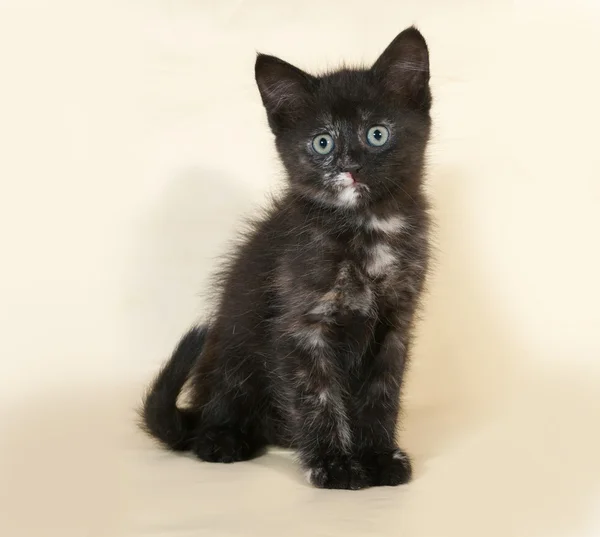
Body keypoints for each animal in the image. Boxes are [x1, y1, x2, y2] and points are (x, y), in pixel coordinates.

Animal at [141, 26, 432, 490]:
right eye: (322, 142)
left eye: (377, 134)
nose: (349, 166)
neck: (366, 228)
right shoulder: (299, 325)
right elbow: (317, 395)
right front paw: (334, 464)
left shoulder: (395, 323)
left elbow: (381, 393)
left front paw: (378, 456)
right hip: (234, 349)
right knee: (216, 416)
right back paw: (224, 439)